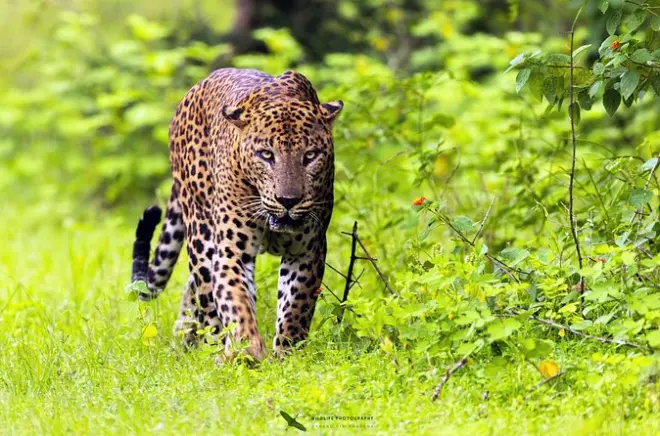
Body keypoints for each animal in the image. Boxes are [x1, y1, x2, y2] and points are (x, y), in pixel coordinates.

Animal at [130, 68, 343, 362]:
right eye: (266, 155)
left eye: (310, 155)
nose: (288, 201)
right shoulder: (232, 251)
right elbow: (235, 299)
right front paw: (246, 348)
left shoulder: (307, 250)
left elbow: (295, 306)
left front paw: (287, 355)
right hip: (201, 233)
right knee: (206, 297)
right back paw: (212, 347)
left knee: (192, 292)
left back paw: (184, 340)